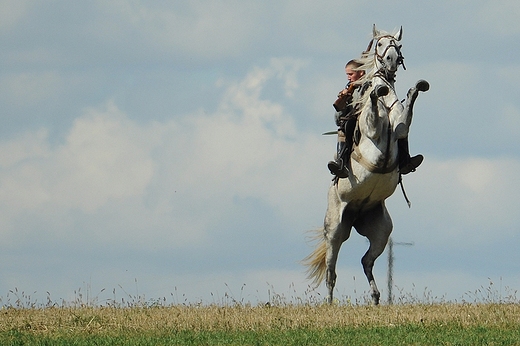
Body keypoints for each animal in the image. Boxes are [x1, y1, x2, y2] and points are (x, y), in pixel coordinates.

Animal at [302, 25, 428, 306]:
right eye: (380, 45)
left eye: (398, 46)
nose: (391, 61)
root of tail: (355, 214)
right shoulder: (372, 134)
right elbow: (371, 111)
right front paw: (374, 91)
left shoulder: (400, 127)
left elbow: (405, 117)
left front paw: (415, 89)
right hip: (335, 229)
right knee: (331, 269)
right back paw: (329, 303)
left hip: (381, 230)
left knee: (366, 261)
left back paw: (376, 297)